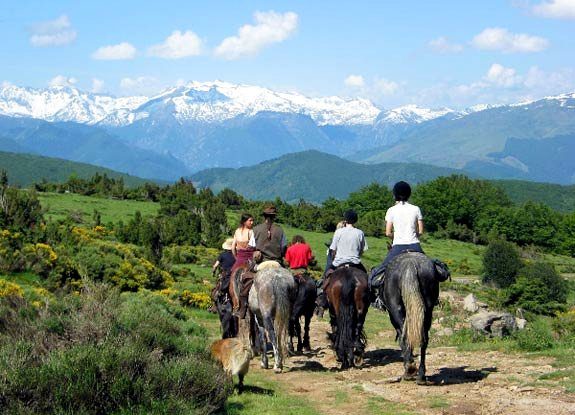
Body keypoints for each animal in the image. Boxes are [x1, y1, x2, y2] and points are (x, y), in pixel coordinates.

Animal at [380, 252, 444, 386]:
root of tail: (410, 264)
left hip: (396, 309)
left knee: (404, 337)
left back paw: (409, 370)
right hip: (427, 310)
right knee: (423, 339)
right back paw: (421, 376)